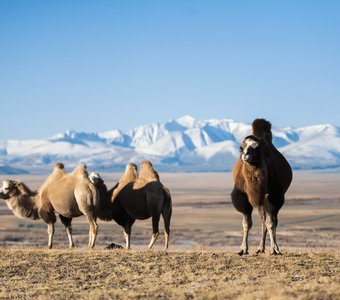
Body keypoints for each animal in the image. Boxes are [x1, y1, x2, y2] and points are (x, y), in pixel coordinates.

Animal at [231, 119, 292, 255]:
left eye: (257, 147)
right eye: (241, 147)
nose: (246, 155)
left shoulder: (273, 195)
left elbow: (271, 223)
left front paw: (274, 249)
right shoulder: (243, 197)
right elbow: (246, 223)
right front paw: (243, 249)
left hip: (271, 199)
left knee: (271, 221)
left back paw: (269, 247)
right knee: (263, 220)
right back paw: (260, 248)